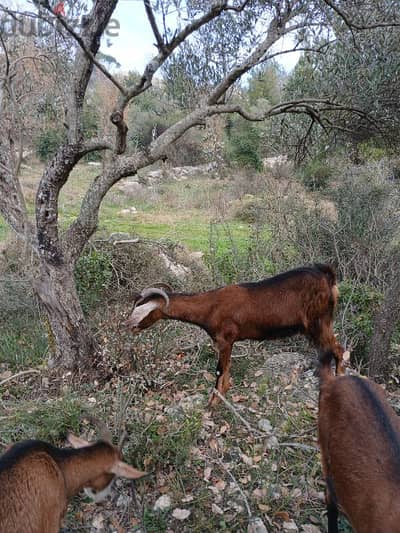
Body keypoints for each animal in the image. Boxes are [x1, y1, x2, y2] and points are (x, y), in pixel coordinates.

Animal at [123, 262, 346, 404]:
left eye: (142, 310)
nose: (128, 326)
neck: (210, 306)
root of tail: (327, 276)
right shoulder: (227, 343)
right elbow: (227, 376)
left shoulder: (225, 340)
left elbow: (219, 372)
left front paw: (211, 406)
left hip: (319, 322)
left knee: (337, 349)